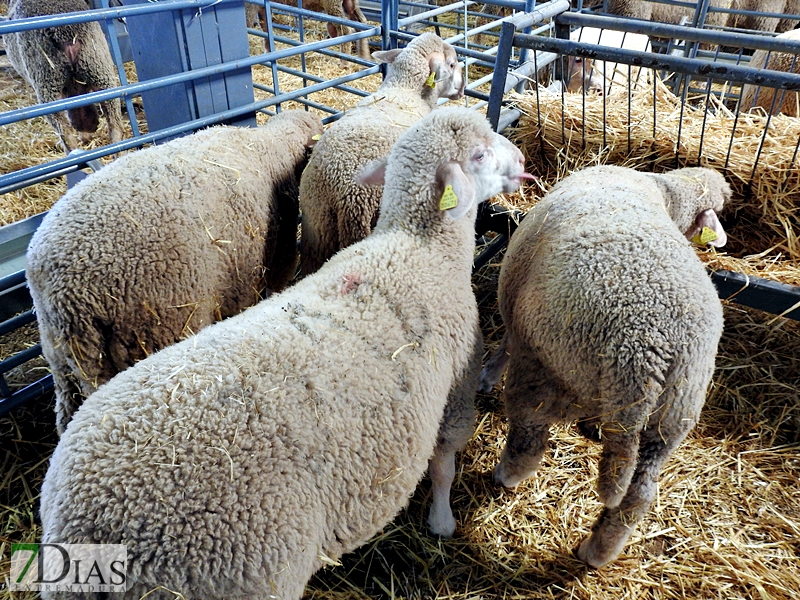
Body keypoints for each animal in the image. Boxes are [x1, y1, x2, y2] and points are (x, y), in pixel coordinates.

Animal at [26, 109, 324, 436]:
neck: (272, 144)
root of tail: (68, 298)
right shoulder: (275, 252)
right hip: (155, 330)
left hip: (61, 361)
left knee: (65, 413)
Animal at [476, 166, 732, 568]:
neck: (664, 190)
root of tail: (651, 353)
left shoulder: (517, 316)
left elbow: (504, 343)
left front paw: (487, 376)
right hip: (673, 416)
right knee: (638, 495)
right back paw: (597, 552)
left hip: (545, 363)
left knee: (528, 439)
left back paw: (506, 476)